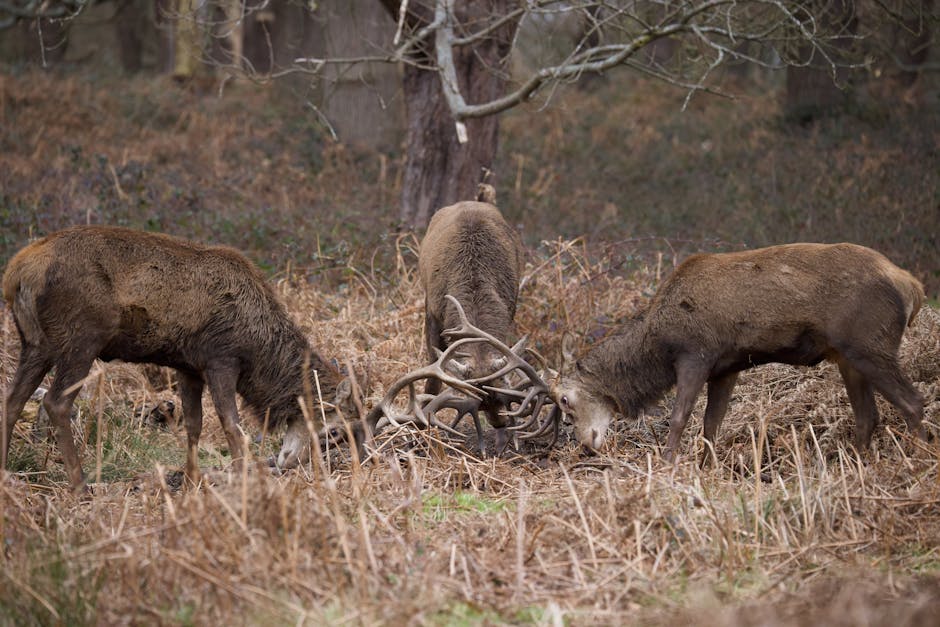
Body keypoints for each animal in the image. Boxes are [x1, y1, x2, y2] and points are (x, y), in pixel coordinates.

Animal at [2, 225, 355, 492]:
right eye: (334, 431)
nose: (292, 463)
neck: (259, 351)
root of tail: (17, 273)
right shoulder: (220, 359)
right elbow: (232, 425)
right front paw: (245, 480)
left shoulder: (188, 367)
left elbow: (194, 425)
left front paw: (190, 480)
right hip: (81, 338)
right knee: (56, 402)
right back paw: (80, 485)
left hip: (36, 344)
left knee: (13, 400)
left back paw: (7, 471)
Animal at [544, 242, 927, 462]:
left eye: (564, 399)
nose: (585, 445)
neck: (658, 344)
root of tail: (913, 286)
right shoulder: (727, 368)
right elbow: (712, 424)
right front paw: (706, 467)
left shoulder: (696, 353)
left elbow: (681, 417)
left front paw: (668, 464)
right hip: (847, 356)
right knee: (867, 416)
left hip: (869, 345)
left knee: (912, 402)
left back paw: (917, 458)